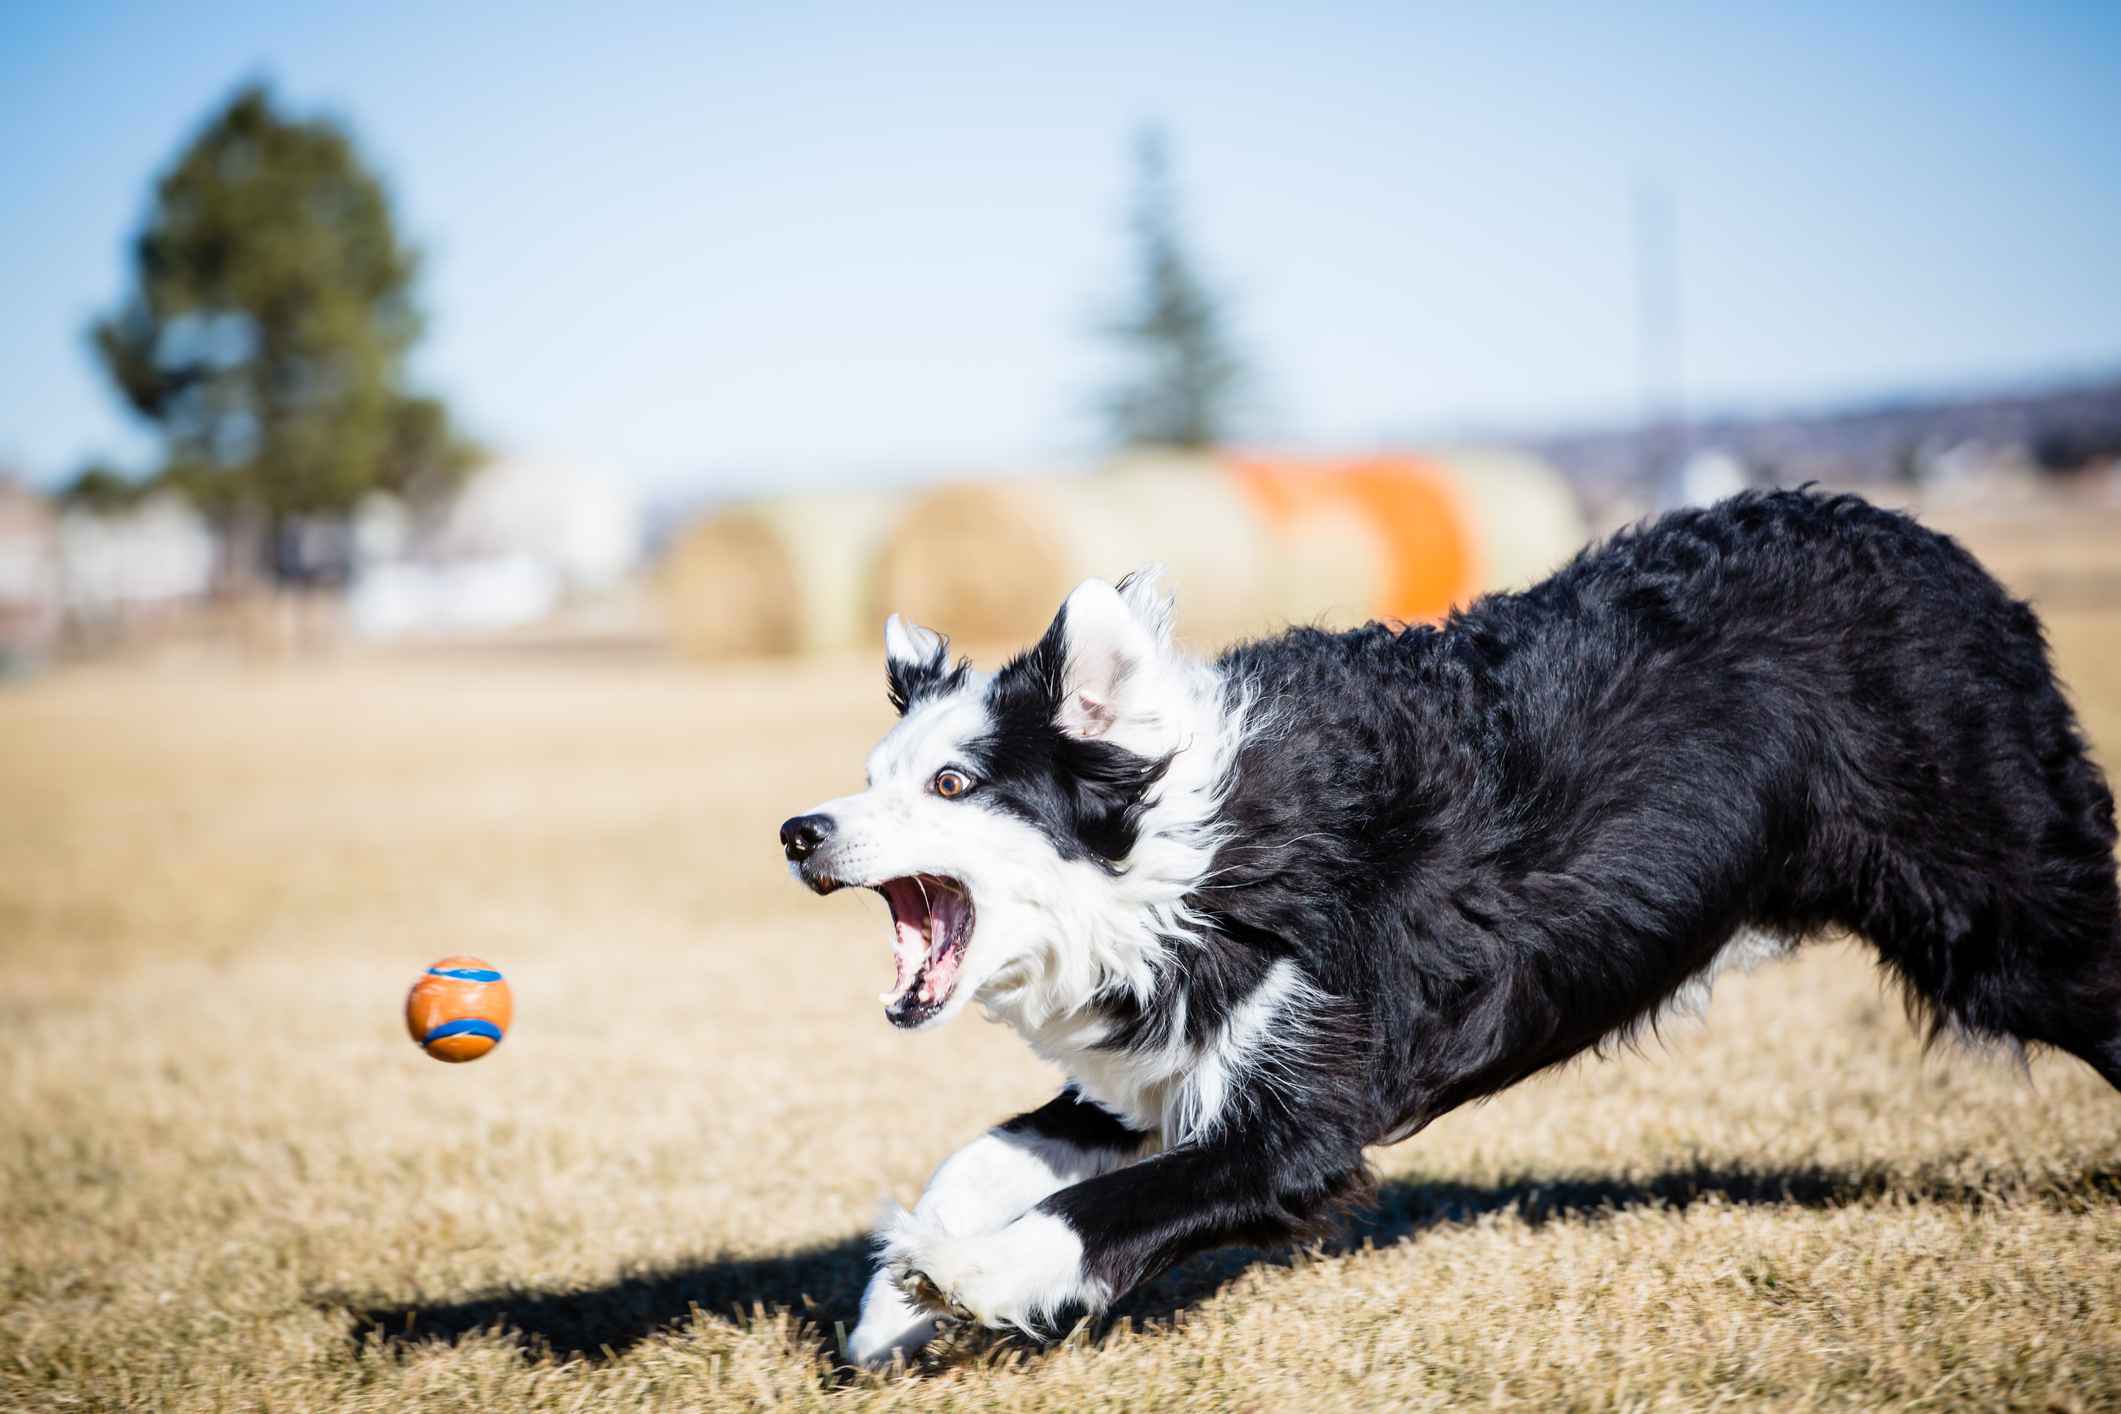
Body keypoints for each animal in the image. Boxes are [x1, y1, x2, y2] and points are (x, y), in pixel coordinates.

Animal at [784, 491, 2121, 1365]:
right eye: (871, 775)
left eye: (953, 783)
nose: (798, 830)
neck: (1182, 849)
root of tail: (1947, 557)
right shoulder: (1167, 1053)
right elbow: (988, 1154)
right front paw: (890, 1303)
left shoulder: (1299, 1119)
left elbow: (1094, 1214)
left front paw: (969, 1279)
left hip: (2001, 911)